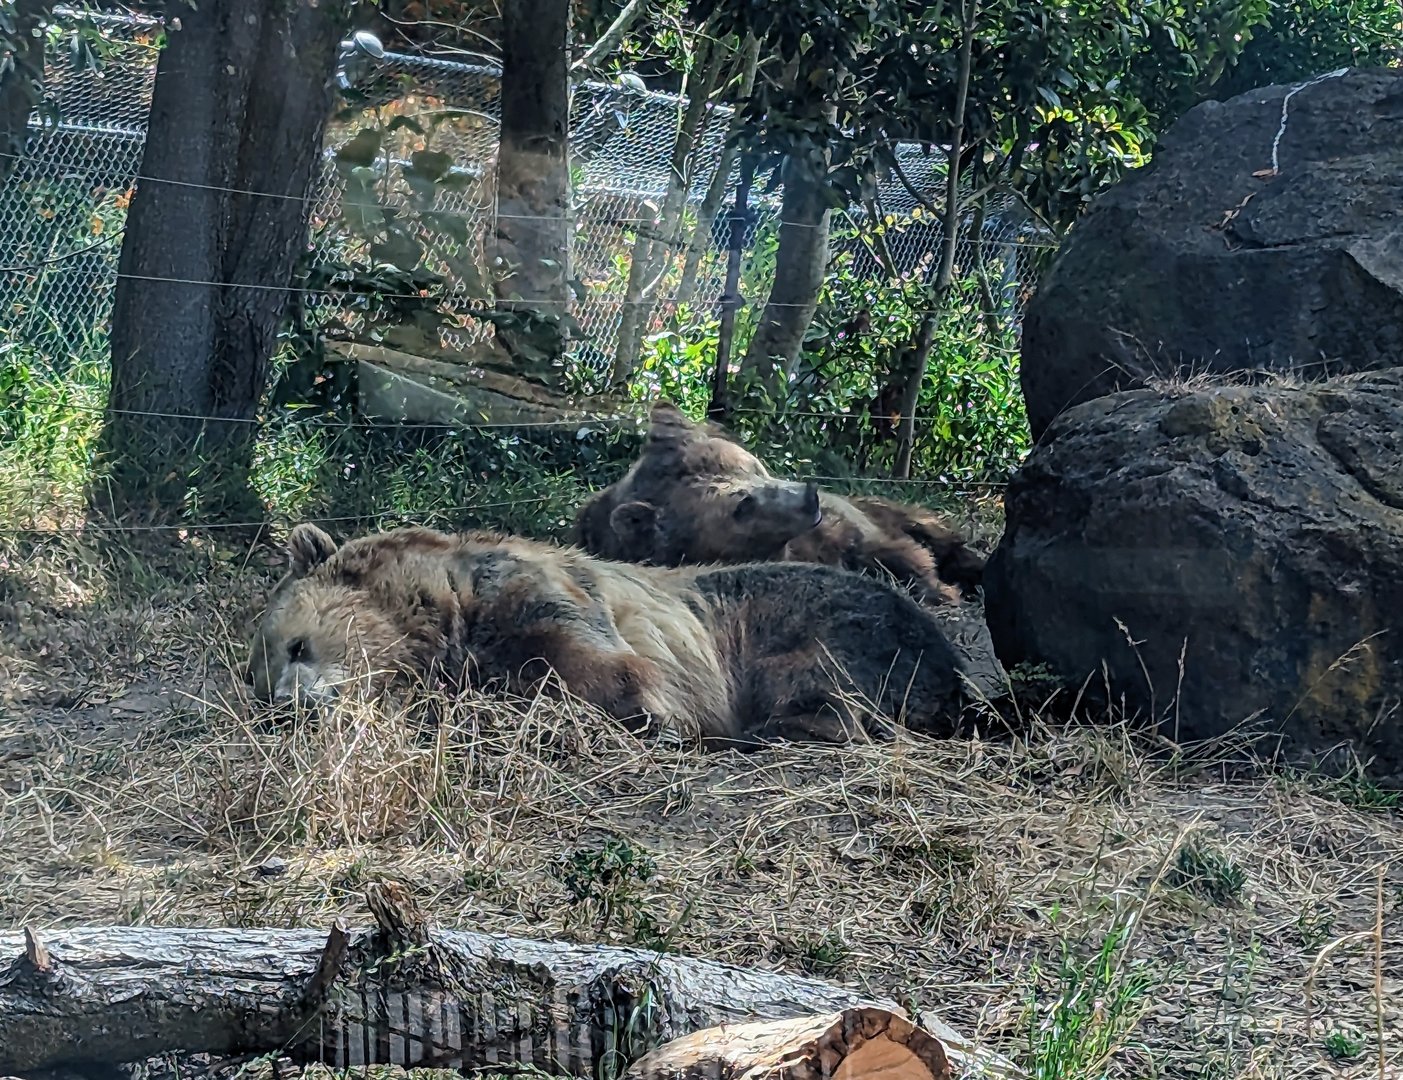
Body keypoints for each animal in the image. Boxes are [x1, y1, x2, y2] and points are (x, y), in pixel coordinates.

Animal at [243, 521, 972, 749]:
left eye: (297, 644)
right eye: (258, 678)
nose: (284, 706)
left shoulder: (538, 593)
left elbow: (607, 667)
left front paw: (651, 716)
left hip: (825, 620)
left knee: (825, 680)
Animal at [570, 401, 985, 606]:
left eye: (751, 466)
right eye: (742, 505)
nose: (808, 497)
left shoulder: (849, 524)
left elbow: (897, 550)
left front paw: (940, 585)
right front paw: (942, 589)